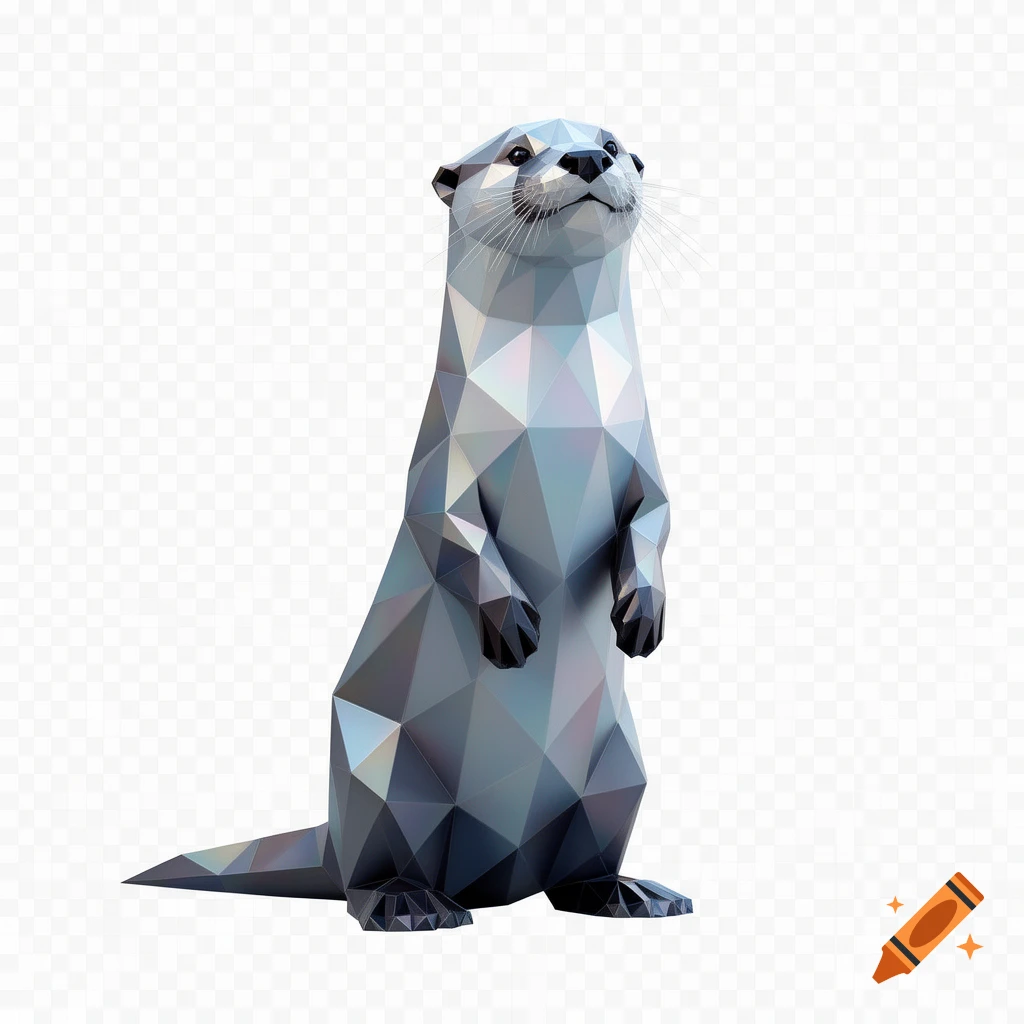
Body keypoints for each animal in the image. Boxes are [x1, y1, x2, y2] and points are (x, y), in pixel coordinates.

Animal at [127, 118, 692, 931]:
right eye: (518, 152)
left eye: (613, 143)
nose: (586, 159)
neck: (554, 405)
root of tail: (498, 876)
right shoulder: (442, 451)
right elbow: (445, 524)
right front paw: (512, 623)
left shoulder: (643, 454)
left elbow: (656, 517)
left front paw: (643, 611)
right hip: (385, 768)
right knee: (371, 869)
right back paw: (409, 902)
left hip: (621, 773)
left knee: (580, 862)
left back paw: (626, 891)